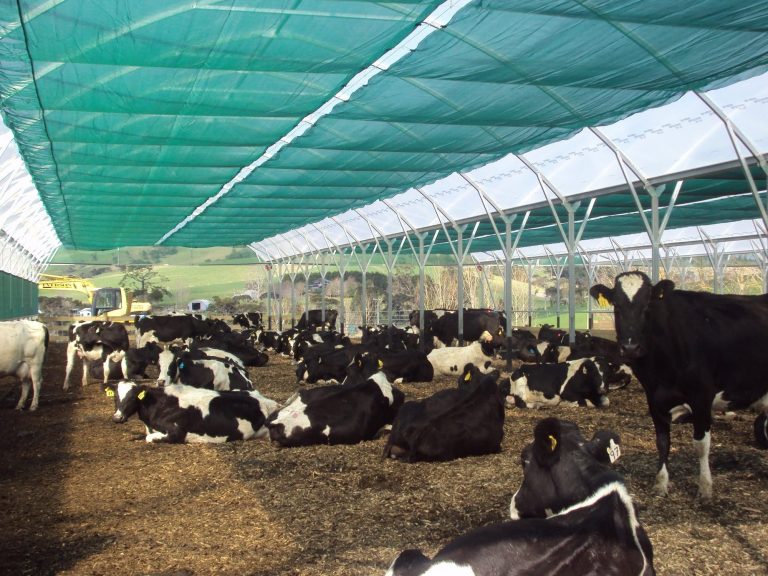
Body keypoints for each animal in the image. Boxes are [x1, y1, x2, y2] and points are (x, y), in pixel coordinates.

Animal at [592, 272, 768, 500]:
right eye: (616, 305)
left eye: (647, 305)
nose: (630, 347)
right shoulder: (653, 397)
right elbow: (662, 441)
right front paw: (661, 483)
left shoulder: (702, 396)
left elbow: (701, 444)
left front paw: (705, 487)